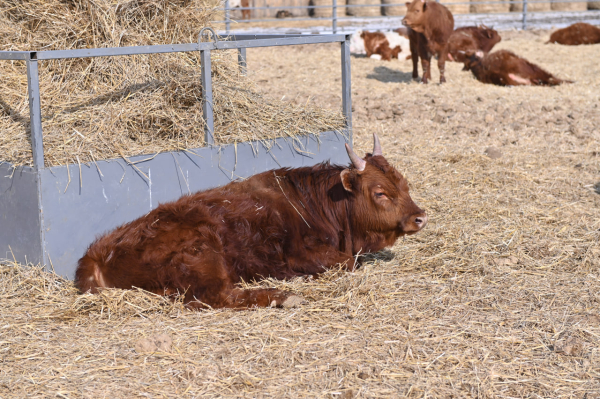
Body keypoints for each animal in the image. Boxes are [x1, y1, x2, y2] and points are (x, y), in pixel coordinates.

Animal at [75, 136, 428, 310]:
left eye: (404, 184)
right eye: (380, 192)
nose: (419, 217)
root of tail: (98, 253)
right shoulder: (303, 254)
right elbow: (350, 263)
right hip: (202, 253)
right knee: (216, 297)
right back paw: (283, 296)